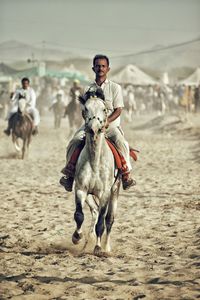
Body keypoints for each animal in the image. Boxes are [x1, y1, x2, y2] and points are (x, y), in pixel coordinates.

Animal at [71, 88, 120, 255]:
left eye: (104, 109)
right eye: (85, 109)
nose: (93, 128)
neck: (95, 162)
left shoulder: (105, 193)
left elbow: (101, 223)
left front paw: (98, 248)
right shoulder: (80, 189)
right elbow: (79, 215)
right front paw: (77, 237)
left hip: (114, 191)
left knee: (108, 219)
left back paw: (106, 247)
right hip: (89, 196)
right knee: (94, 211)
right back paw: (87, 241)